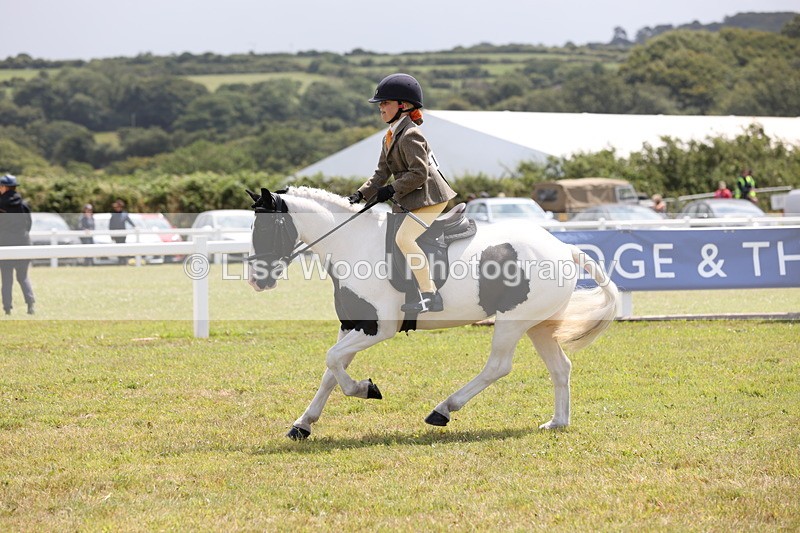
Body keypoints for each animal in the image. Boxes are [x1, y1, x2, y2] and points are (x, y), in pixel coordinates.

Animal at [246, 186, 619, 440]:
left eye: (265, 228)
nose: (256, 280)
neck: (351, 244)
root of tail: (565, 248)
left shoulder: (378, 327)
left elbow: (333, 361)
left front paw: (367, 389)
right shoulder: (353, 324)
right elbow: (330, 371)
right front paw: (303, 424)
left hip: (513, 321)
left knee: (498, 366)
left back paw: (443, 410)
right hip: (537, 325)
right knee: (560, 368)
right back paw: (557, 422)